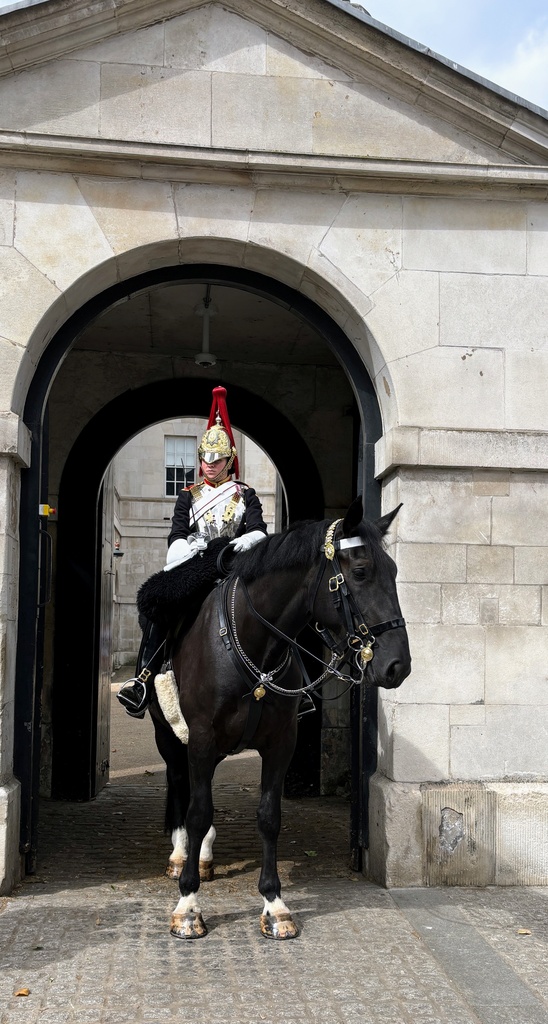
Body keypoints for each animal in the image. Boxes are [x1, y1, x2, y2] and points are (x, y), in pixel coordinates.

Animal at [146, 496, 411, 940]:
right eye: (360, 571)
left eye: (393, 571)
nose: (398, 666)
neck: (253, 642)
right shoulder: (200, 737)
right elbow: (198, 813)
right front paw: (187, 906)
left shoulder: (280, 743)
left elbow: (268, 817)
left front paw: (274, 905)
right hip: (169, 735)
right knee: (182, 784)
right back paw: (182, 855)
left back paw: (203, 855)